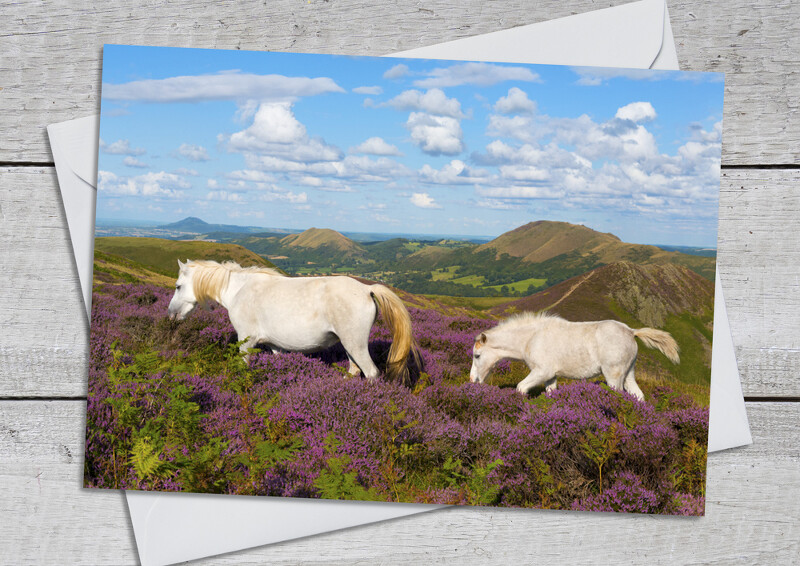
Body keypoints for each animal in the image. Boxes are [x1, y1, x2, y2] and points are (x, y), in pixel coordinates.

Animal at [468, 312, 680, 402]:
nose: (473, 381)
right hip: (629, 374)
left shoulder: (541, 371)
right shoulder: (551, 376)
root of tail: (631, 331)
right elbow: (551, 393)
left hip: (614, 377)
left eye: (477, 355)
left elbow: (520, 388)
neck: (531, 337)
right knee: (639, 396)